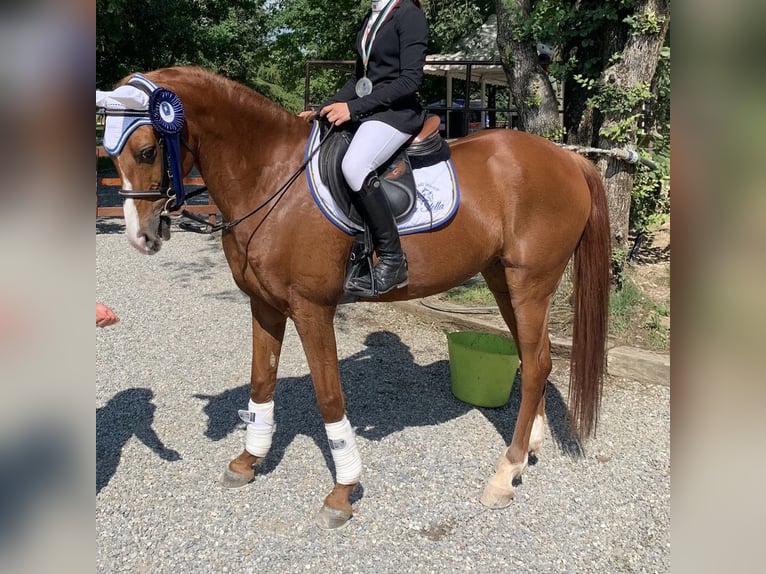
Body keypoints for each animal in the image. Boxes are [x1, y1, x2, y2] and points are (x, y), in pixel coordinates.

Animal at [105, 66, 616, 532]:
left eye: (147, 150)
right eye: (111, 156)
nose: (141, 237)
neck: (270, 176)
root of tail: (568, 159)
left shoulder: (311, 309)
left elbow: (330, 397)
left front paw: (342, 491)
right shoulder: (264, 305)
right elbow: (261, 382)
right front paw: (249, 460)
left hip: (531, 283)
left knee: (537, 364)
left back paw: (504, 474)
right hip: (501, 278)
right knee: (536, 360)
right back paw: (528, 450)